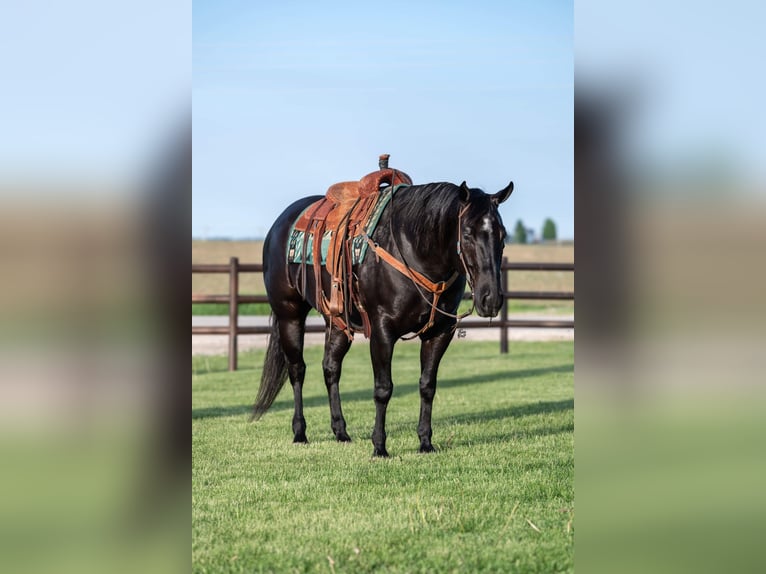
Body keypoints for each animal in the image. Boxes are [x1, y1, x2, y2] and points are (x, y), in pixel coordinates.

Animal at [254, 180, 516, 460]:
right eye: (467, 233)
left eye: (502, 235)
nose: (491, 299)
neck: (414, 251)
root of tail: (280, 224)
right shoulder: (382, 331)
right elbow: (383, 389)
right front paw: (379, 447)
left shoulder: (440, 332)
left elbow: (427, 385)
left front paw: (425, 442)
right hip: (289, 315)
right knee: (297, 370)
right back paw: (300, 433)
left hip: (337, 322)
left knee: (331, 368)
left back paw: (341, 432)